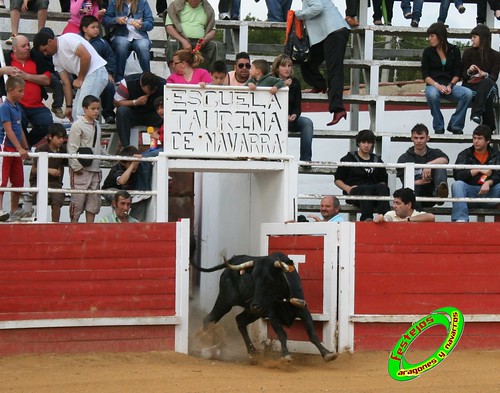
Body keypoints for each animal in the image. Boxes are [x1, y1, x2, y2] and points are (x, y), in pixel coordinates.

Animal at [191, 251, 336, 362]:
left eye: (269, 280)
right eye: (254, 279)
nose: (255, 305)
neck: (282, 296)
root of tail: (233, 259)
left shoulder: (303, 309)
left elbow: (312, 333)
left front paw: (327, 354)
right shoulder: (272, 315)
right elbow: (282, 334)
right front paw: (285, 355)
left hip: (251, 312)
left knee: (240, 320)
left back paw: (253, 352)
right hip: (225, 301)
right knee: (209, 319)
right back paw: (201, 347)